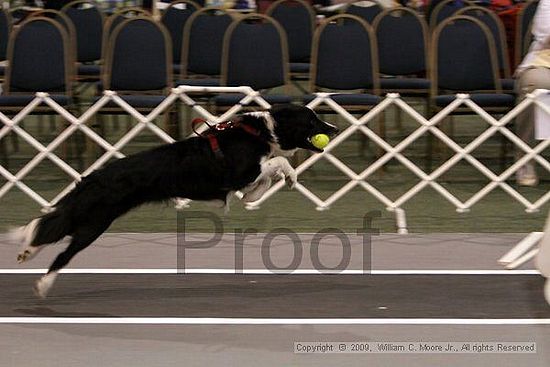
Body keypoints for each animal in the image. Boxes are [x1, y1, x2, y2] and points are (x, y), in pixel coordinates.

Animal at [10, 104, 338, 300]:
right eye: (312, 120)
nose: (333, 130)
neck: (260, 132)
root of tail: (93, 177)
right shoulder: (240, 173)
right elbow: (278, 162)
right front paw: (290, 176)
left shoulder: (244, 180)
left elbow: (265, 179)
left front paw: (261, 193)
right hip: (96, 221)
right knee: (62, 247)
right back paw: (42, 284)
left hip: (91, 217)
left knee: (54, 227)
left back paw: (27, 253)